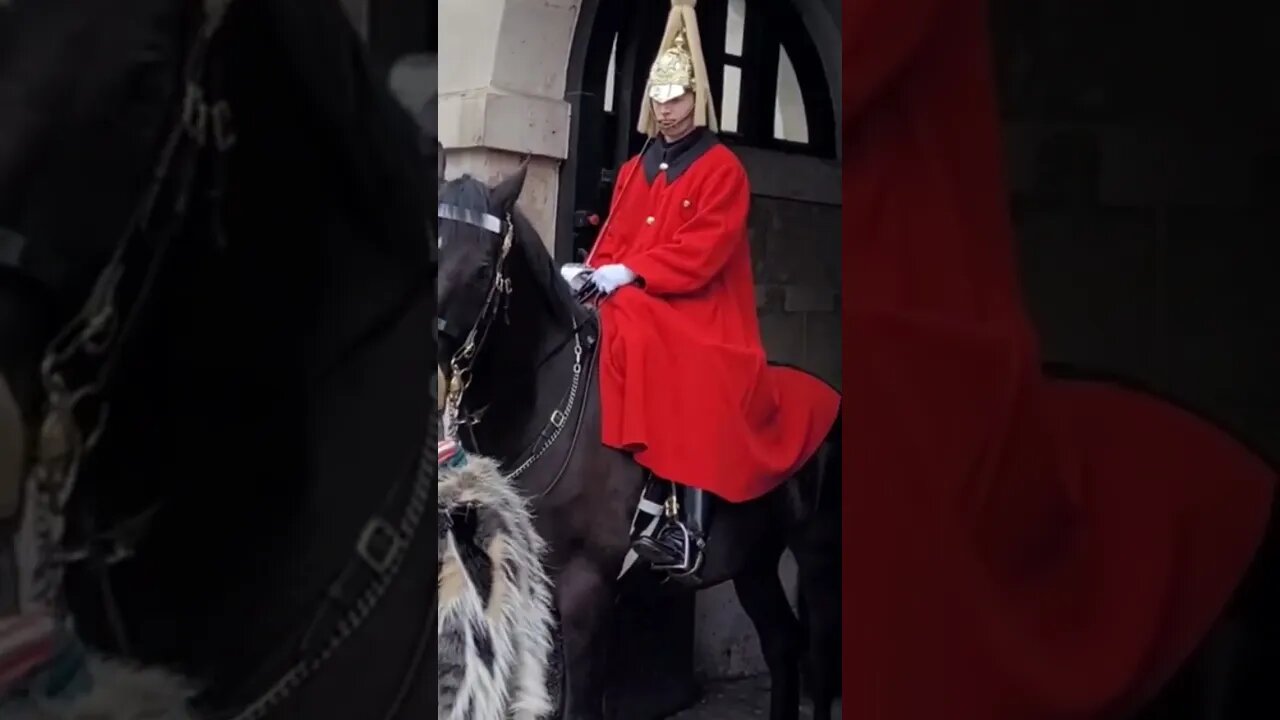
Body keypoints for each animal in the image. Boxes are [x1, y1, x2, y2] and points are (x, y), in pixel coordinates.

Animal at [435, 163, 844, 717]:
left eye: (482, 269)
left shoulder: (586, 586)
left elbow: (580, 704)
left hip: (818, 557)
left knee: (817, 658)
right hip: (754, 562)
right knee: (782, 643)